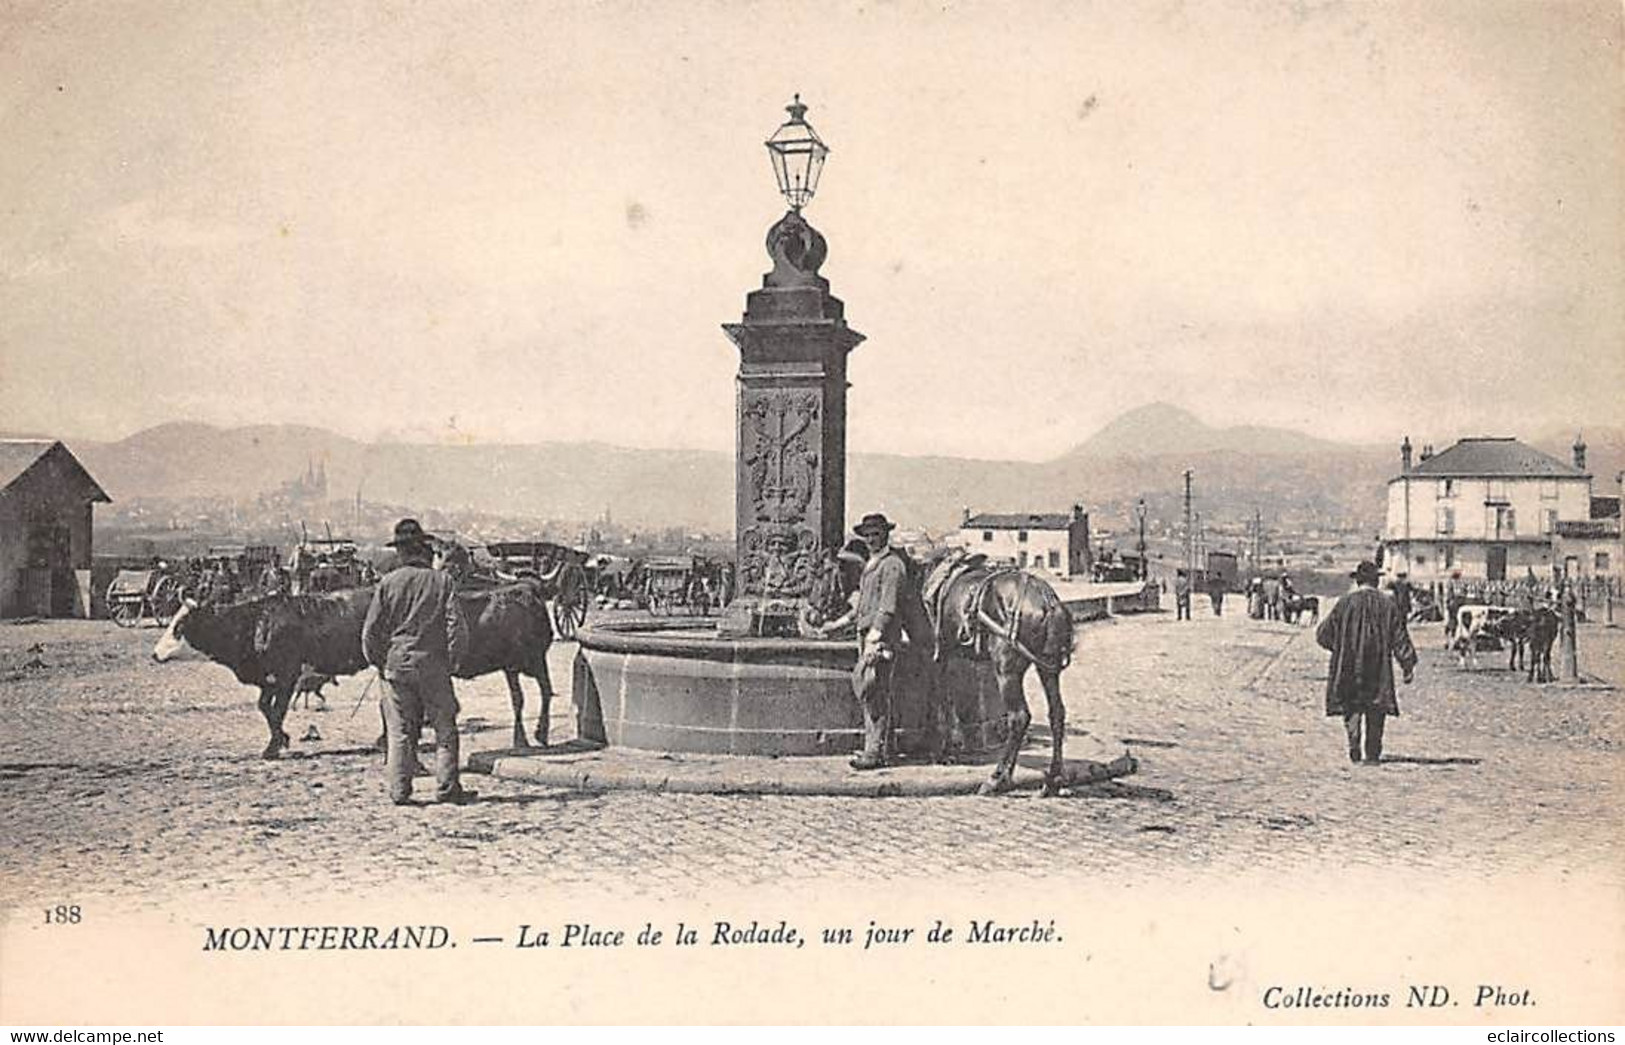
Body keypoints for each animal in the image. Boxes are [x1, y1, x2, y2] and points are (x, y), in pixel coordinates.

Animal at [153, 581, 559, 760]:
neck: (255, 622)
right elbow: (265, 709)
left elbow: (275, 710)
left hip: (531, 660)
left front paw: (275, 745)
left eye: (179, 625)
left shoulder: (286, 674)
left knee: (541, 691)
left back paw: (536, 734)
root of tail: (526, 589)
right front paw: (281, 739)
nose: (155, 654)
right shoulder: (271, 677)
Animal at [929, 552, 1079, 796]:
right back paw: (1054, 777)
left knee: (1019, 717)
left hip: (1007, 671)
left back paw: (998, 778)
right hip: (1048, 667)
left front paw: (944, 751)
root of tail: (1048, 601)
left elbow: (943, 699)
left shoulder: (942, 653)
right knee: (1057, 712)